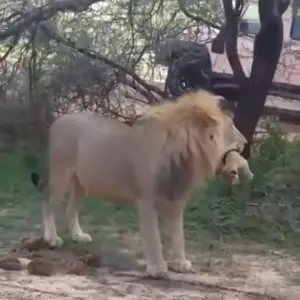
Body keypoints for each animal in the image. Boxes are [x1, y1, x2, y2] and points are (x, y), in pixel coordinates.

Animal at [29, 90, 246, 278]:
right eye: (231, 126)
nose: (244, 143)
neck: (188, 155)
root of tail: (60, 119)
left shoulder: (176, 200)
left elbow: (179, 235)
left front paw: (180, 263)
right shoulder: (147, 200)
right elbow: (154, 237)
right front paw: (157, 268)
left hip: (82, 183)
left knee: (71, 209)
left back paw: (78, 236)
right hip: (61, 174)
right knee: (47, 205)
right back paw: (51, 238)